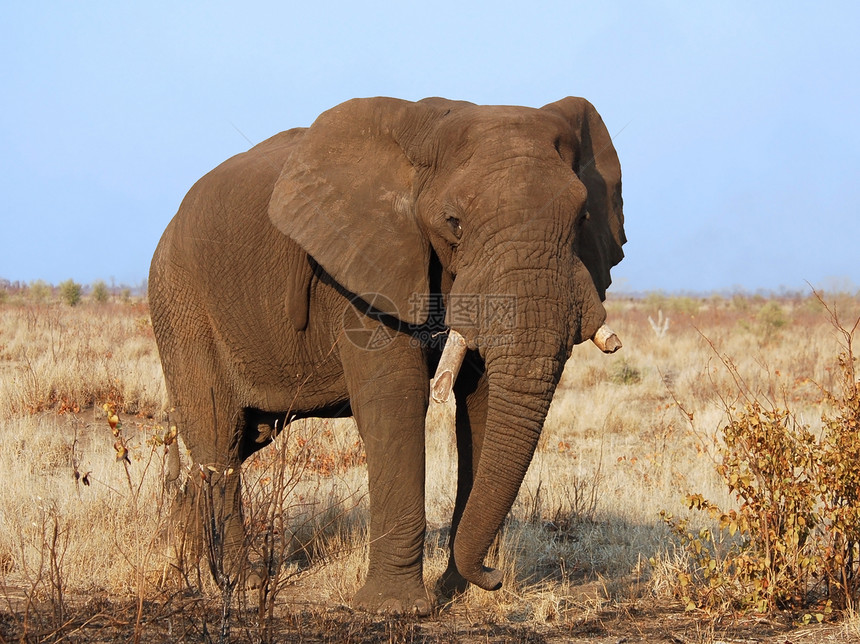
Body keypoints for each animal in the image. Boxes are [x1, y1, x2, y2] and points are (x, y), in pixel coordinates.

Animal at [149, 94, 624, 612]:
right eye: (454, 223)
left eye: (582, 219)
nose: (493, 576)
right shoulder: (361, 265)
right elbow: (396, 398)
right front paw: (395, 609)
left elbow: (481, 405)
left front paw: (454, 594)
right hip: (181, 301)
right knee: (219, 437)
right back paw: (241, 584)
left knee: (241, 437)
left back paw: (186, 566)